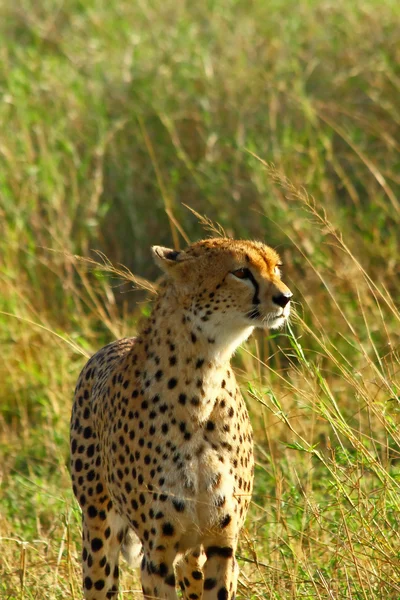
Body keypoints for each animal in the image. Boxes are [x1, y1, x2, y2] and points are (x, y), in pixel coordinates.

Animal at [70, 237, 292, 596]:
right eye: (241, 272)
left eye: (276, 268)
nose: (285, 298)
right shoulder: (157, 552)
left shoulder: (222, 543)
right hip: (97, 529)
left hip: (192, 551)